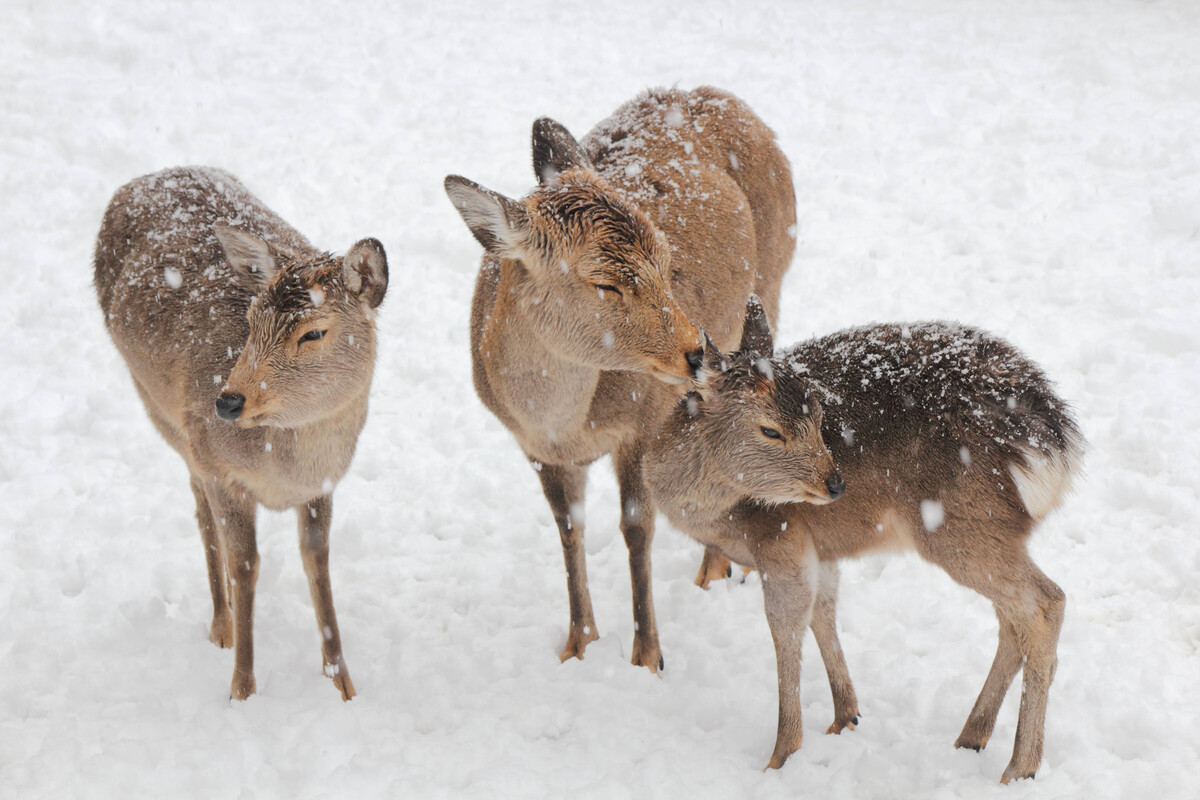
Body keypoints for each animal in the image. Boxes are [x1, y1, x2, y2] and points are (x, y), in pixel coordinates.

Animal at [96, 165, 391, 695]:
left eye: (314, 332)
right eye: (252, 319)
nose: (228, 401)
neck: (283, 470)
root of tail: (140, 180)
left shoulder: (322, 485)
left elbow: (317, 558)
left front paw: (342, 684)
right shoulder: (222, 472)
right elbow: (246, 564)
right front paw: (242, 689)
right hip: (166, 419)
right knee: (200, 513)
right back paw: (221, 624)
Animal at [441, 86, 796, 671]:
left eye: (667, 258)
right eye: (605, 283)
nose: (696, 352)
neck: (563, 423)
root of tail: (725, 98)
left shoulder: (644, 421)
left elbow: (636, 529)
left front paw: (648, 657)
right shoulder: (532, 447)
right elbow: (568, 528)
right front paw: (578, 644)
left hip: (773, 277)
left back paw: (718, 569)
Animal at [648, 296, 1089, 782]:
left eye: (820, 416)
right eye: (770, 429)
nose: (835, 484)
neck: (705, 512)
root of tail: (1055, 446)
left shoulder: (780, 537)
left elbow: (786, 627)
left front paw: (781, 755)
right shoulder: (818, 548)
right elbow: (823, 614)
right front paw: (846, 716)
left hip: (959, 527)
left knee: (1046, 602)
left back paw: (1020, 766)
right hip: (996, 532)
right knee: (1013, 620)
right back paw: (971, 737)